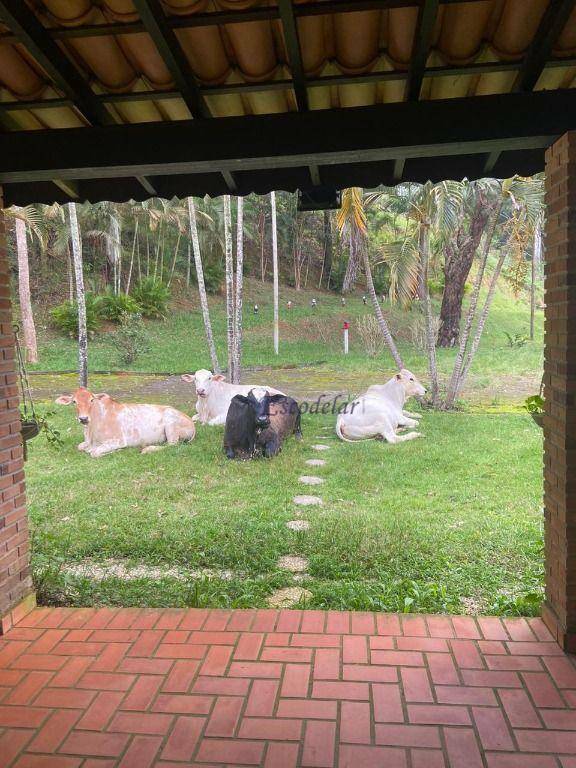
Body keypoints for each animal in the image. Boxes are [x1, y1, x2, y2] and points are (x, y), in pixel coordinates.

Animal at [56, 388, 196, 460]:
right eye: (74, 401)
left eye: (92, 400)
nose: (83, 418)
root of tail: (191, 423)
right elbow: (80, 447)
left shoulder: (118, 440)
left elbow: (94, 453)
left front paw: (118, 451)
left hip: (171, 427)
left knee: (172, 445)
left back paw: (147, 449)